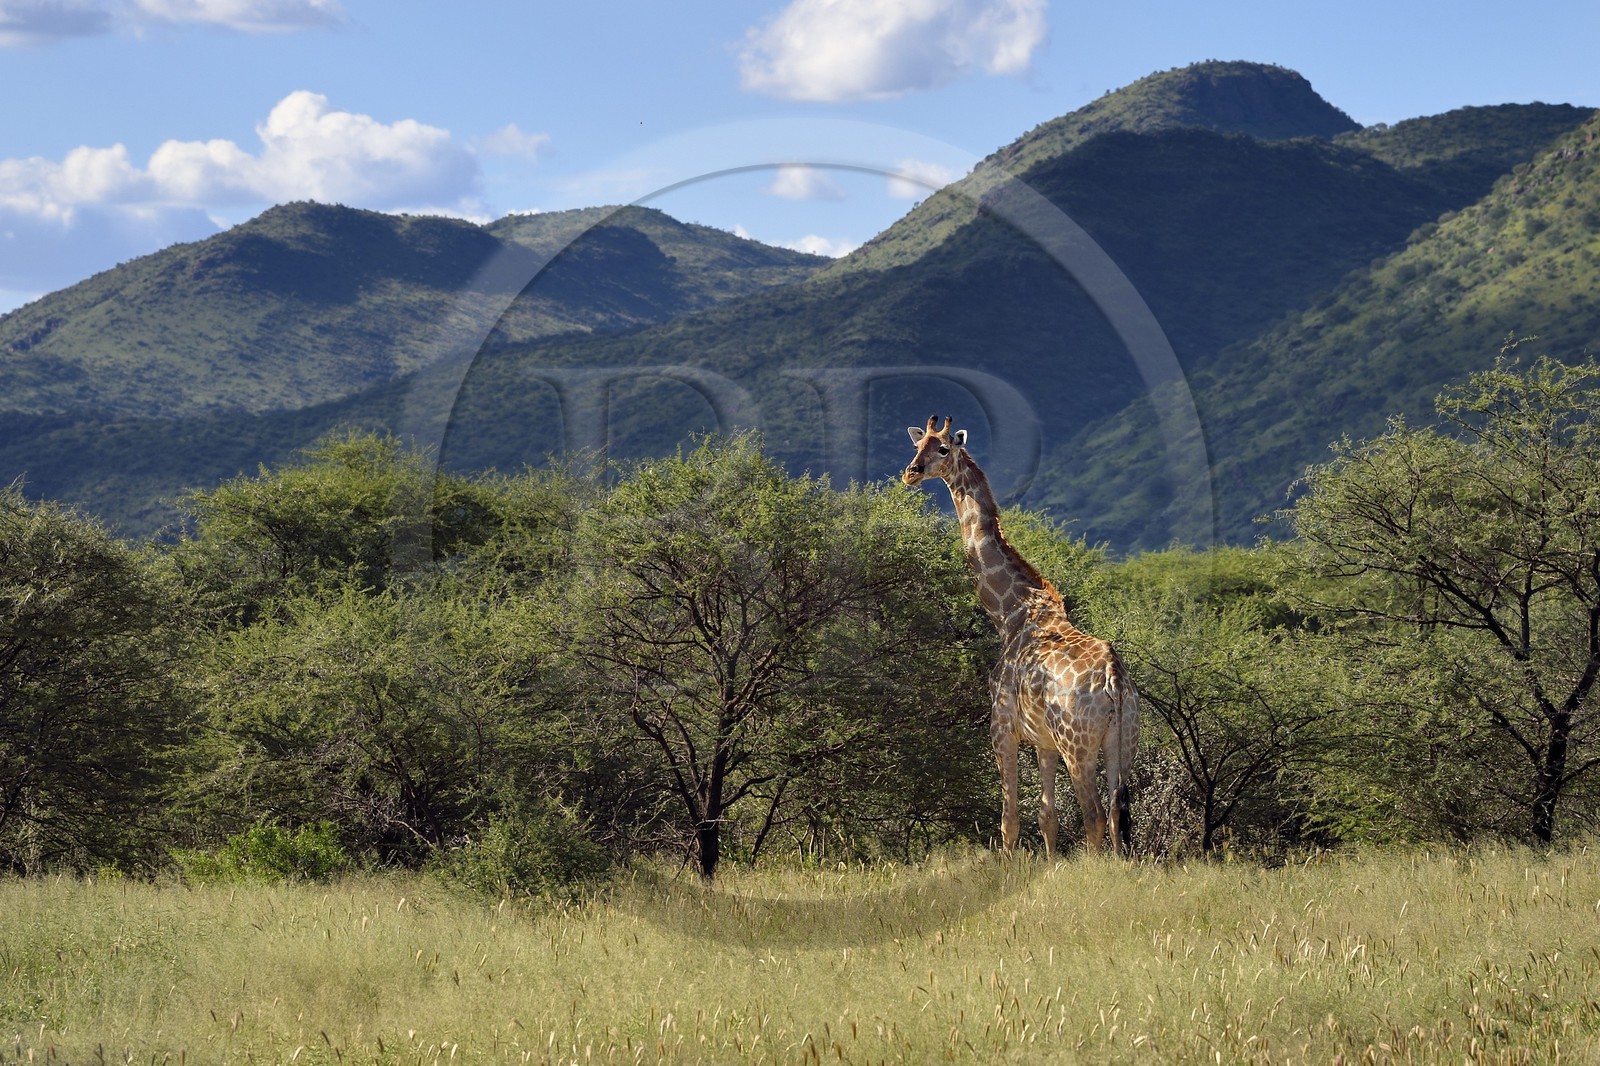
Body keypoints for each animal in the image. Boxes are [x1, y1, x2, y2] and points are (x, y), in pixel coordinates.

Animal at [904, 416, 1138, 856]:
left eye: (942, 448)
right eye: (917, 444)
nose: (910, 472)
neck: (1009, 613)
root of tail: (1114, 679)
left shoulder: (1002, 728)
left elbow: (1009, 820)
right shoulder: (1043, 741)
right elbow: (1047, 817)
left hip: (1077, 745)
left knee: (1095, 814)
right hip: (1124, 741)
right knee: (1118, 812)